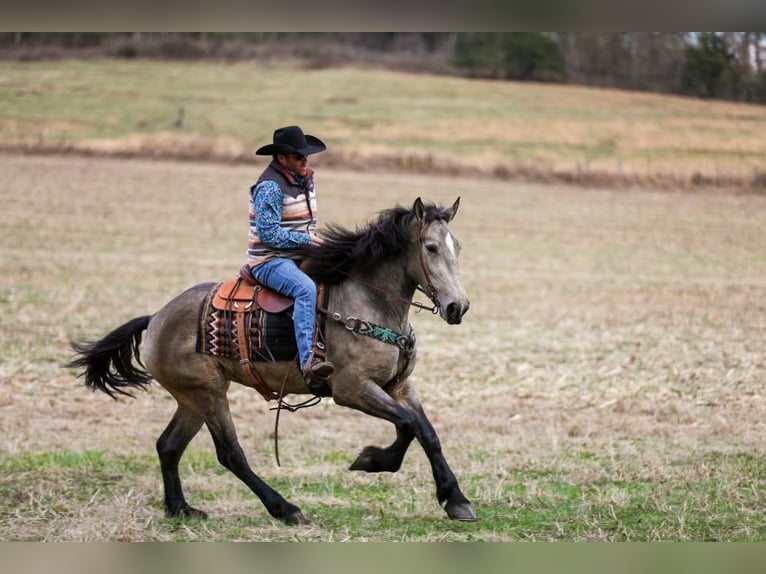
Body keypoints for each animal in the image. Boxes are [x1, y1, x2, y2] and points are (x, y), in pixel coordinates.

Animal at [66, 197, 476, 528]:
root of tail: (155, 319)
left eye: (457, 246)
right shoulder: (352, 389)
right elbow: (407, 425)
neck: (369, 302)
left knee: (168, 445)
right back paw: (285, 509)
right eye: (431, 247)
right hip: (208, 393)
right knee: (230, 454)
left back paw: (180, 508)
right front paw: (371, 460)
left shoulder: (399, 385)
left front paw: (456, 500)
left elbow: (427, 432)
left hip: (192, 398)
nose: (457, 307)